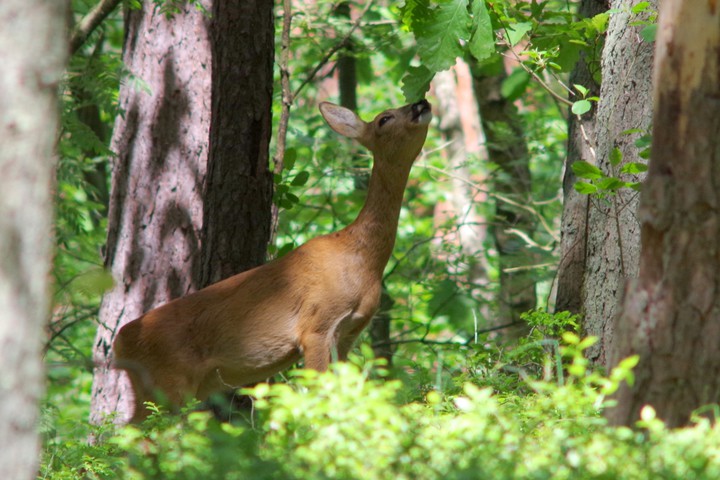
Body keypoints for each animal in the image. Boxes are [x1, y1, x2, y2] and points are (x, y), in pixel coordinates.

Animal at [112, 99, 434, 422]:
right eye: (384, 119)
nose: (421, 103)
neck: (362, 259)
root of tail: (119, 344)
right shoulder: (316, 325)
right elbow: (318, 398)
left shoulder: (348, 334)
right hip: (167, 384)